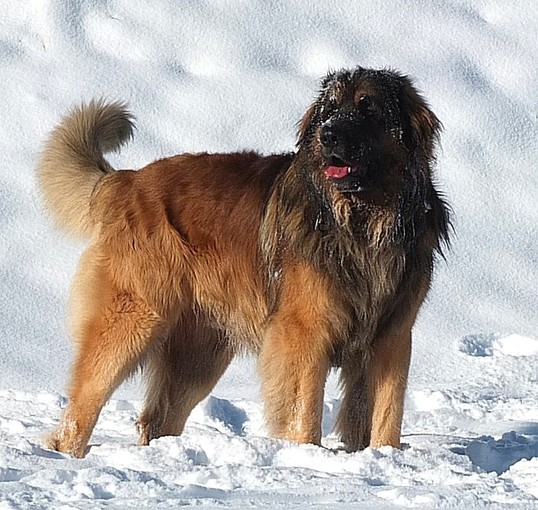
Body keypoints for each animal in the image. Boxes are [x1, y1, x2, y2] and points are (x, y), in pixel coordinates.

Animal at [36, 66, 448, 458]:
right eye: (329, 109)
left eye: (368, 107)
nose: (327, 135)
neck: (362, 222)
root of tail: (126, 181)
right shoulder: (303, 333)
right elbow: (305, 410)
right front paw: (307, 455)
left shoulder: (391, 337)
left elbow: (386, 411)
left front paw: (383, 454)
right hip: (133, 319)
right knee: (80, 410)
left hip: (199, 353)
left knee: (157, 418)